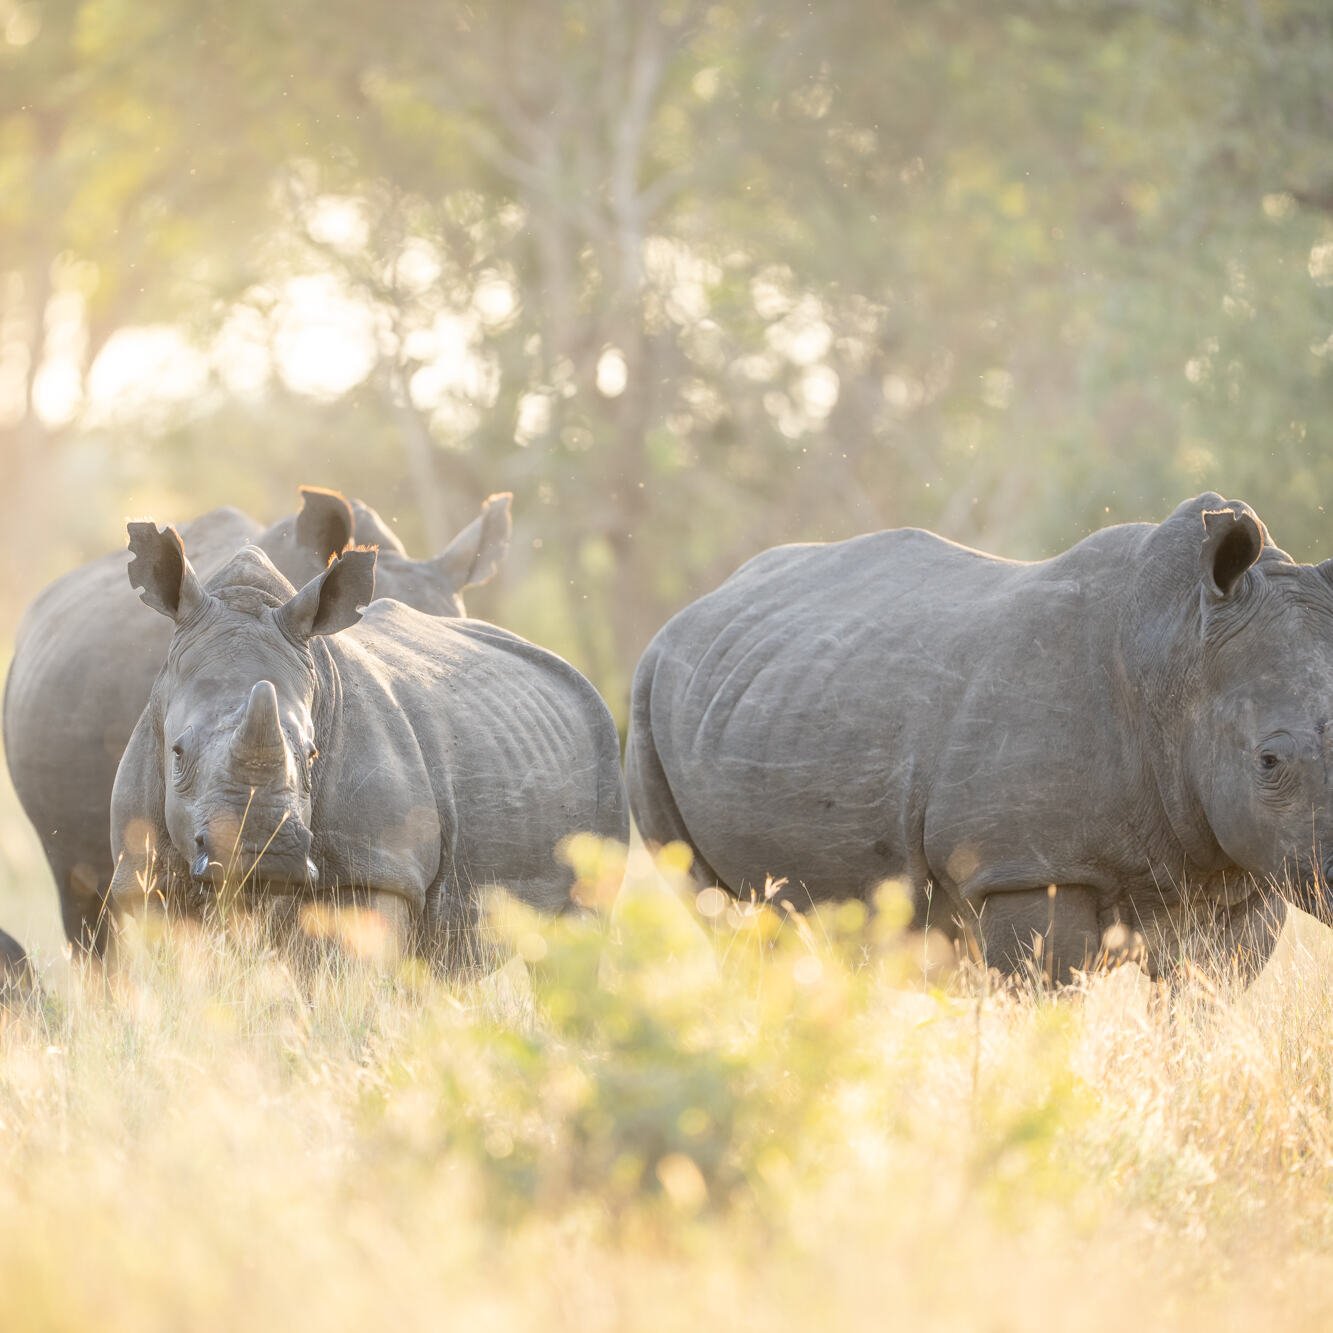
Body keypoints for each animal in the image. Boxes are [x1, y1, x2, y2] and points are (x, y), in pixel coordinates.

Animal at [629, 495, 1333, 986]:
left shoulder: (1237, 873)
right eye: (1269, 760)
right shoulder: (1028, 866)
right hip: (647, 703)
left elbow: (1202, 1007)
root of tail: (690, 611)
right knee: (720, 915)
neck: (1179, 650)